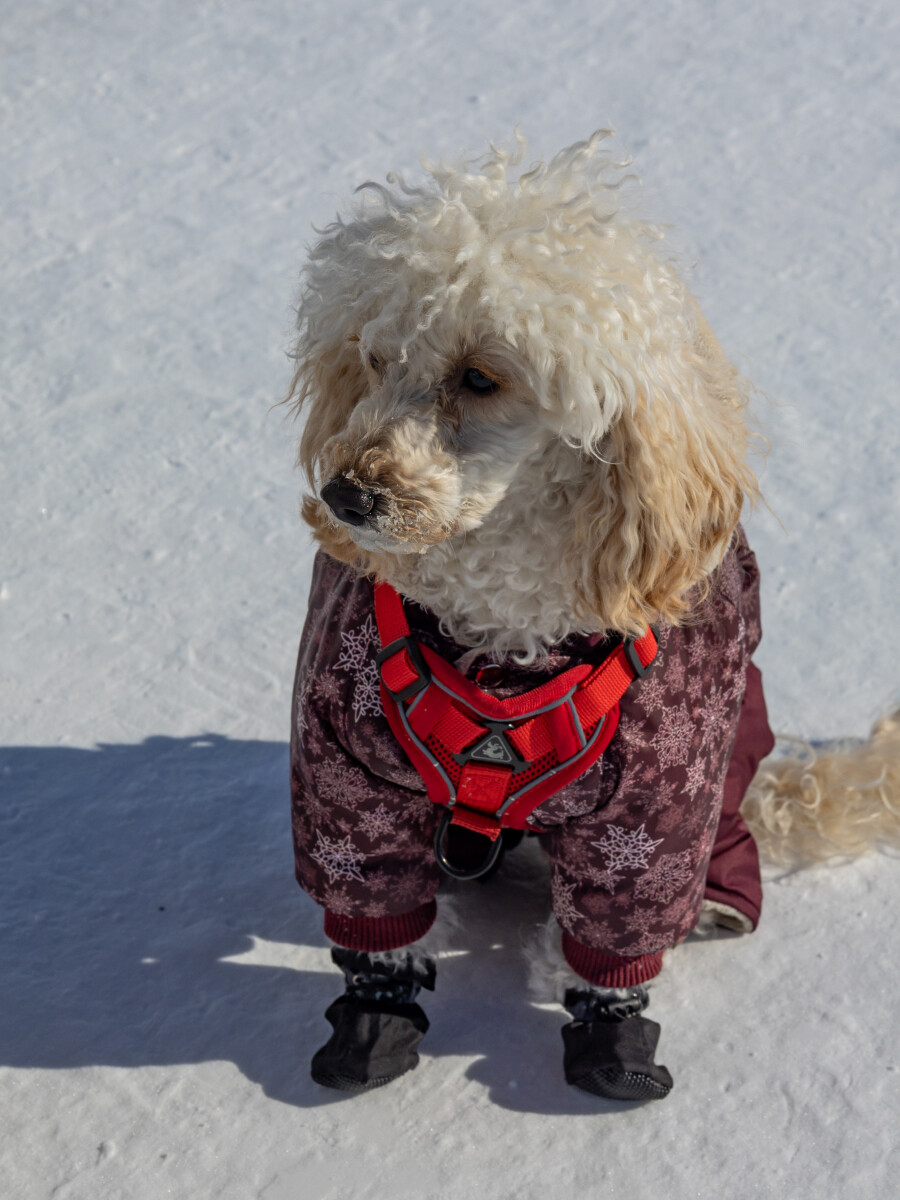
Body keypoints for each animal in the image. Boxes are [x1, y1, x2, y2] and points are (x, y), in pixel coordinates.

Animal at [286, 131, 900, 1099]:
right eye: (375, 360)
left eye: (480, 378)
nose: (347, 497)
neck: (502, 630)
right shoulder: (341, 762)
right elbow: (368, 893)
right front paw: (373, 1015)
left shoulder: (659, 806)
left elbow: (619, 930)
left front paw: (613, 1038)